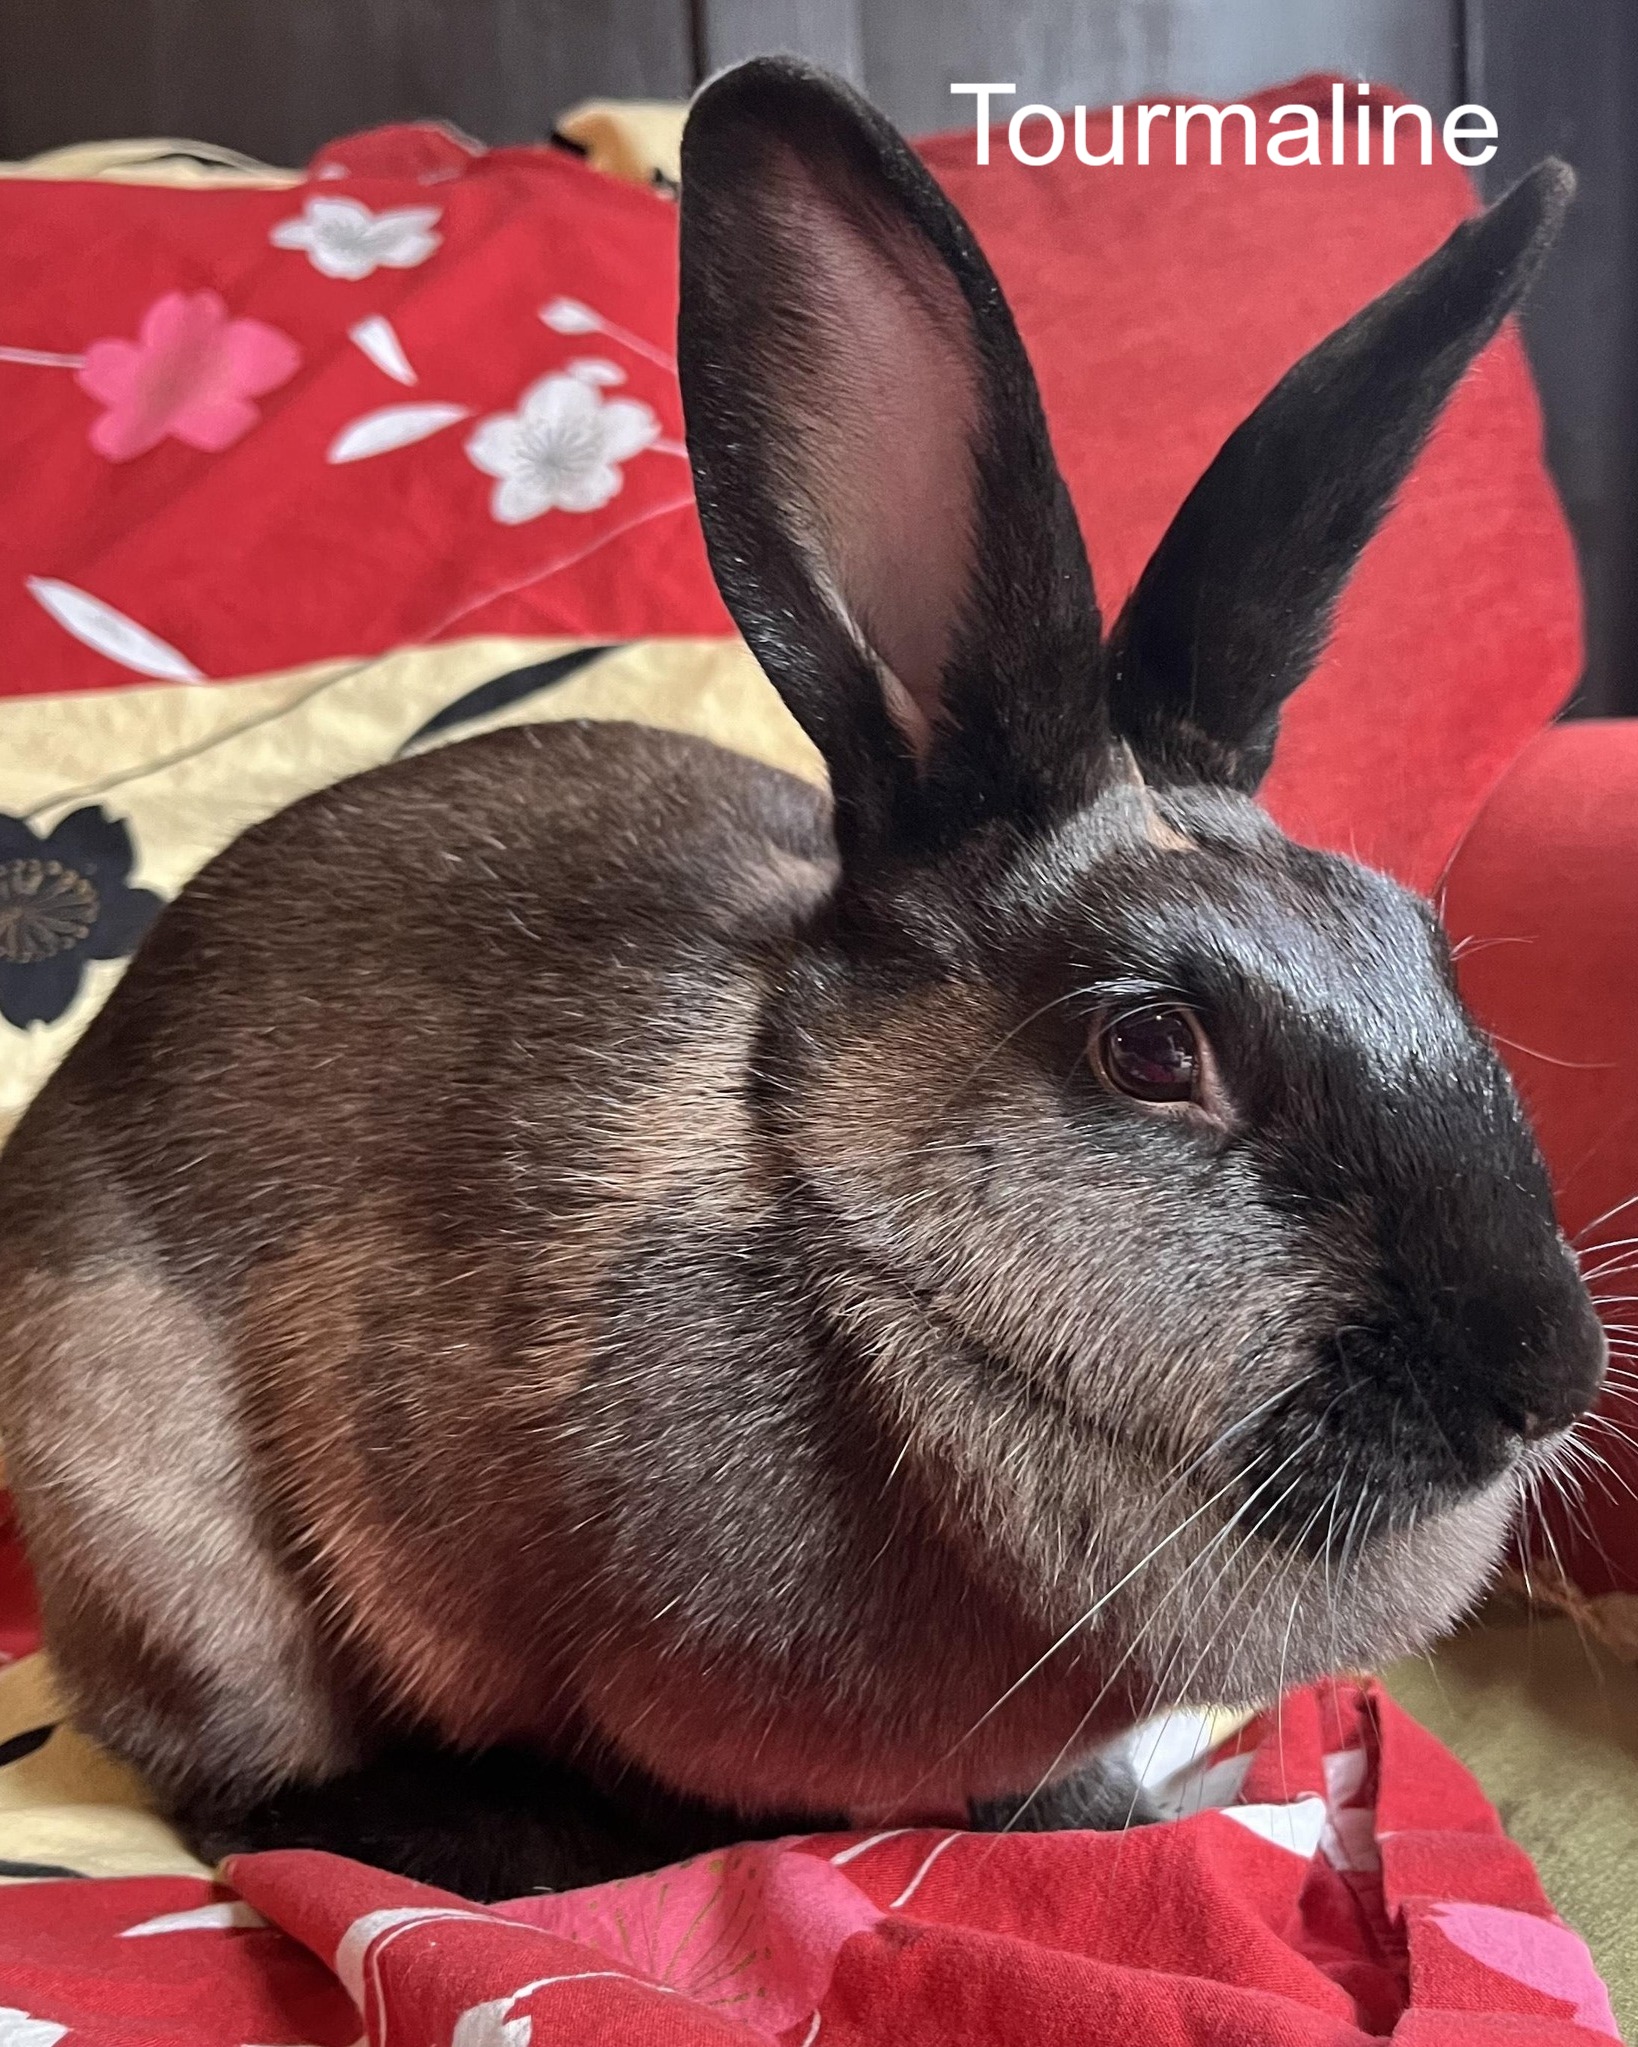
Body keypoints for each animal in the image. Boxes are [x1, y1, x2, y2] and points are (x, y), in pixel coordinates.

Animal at [0, 58, 1602, 1903]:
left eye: (1423, 946)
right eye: (1149, 1048)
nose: (1544, 1377)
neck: (858, 1240)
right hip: (161, 1539)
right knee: (239, 1789)